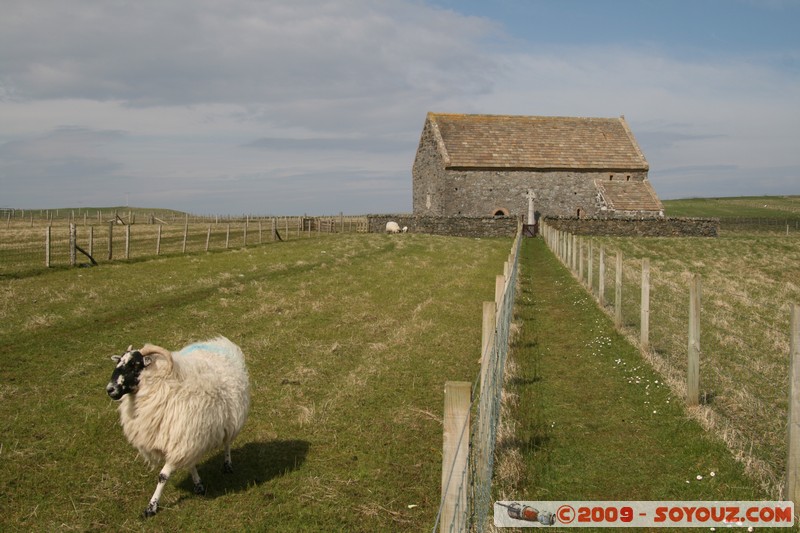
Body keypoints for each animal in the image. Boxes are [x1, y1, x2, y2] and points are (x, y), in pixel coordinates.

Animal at [106, 336, 248, 516]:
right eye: (118, 363)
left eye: (134, 364)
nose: (110, 389)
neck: (161, 385)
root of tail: (219, 342)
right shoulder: (187, 441)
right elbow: (190, 464)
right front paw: (198, 485)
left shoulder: (180, 441)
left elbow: (162, 476)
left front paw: (151, 507)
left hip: (232, 418)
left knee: (227, 442)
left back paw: (227, 464)